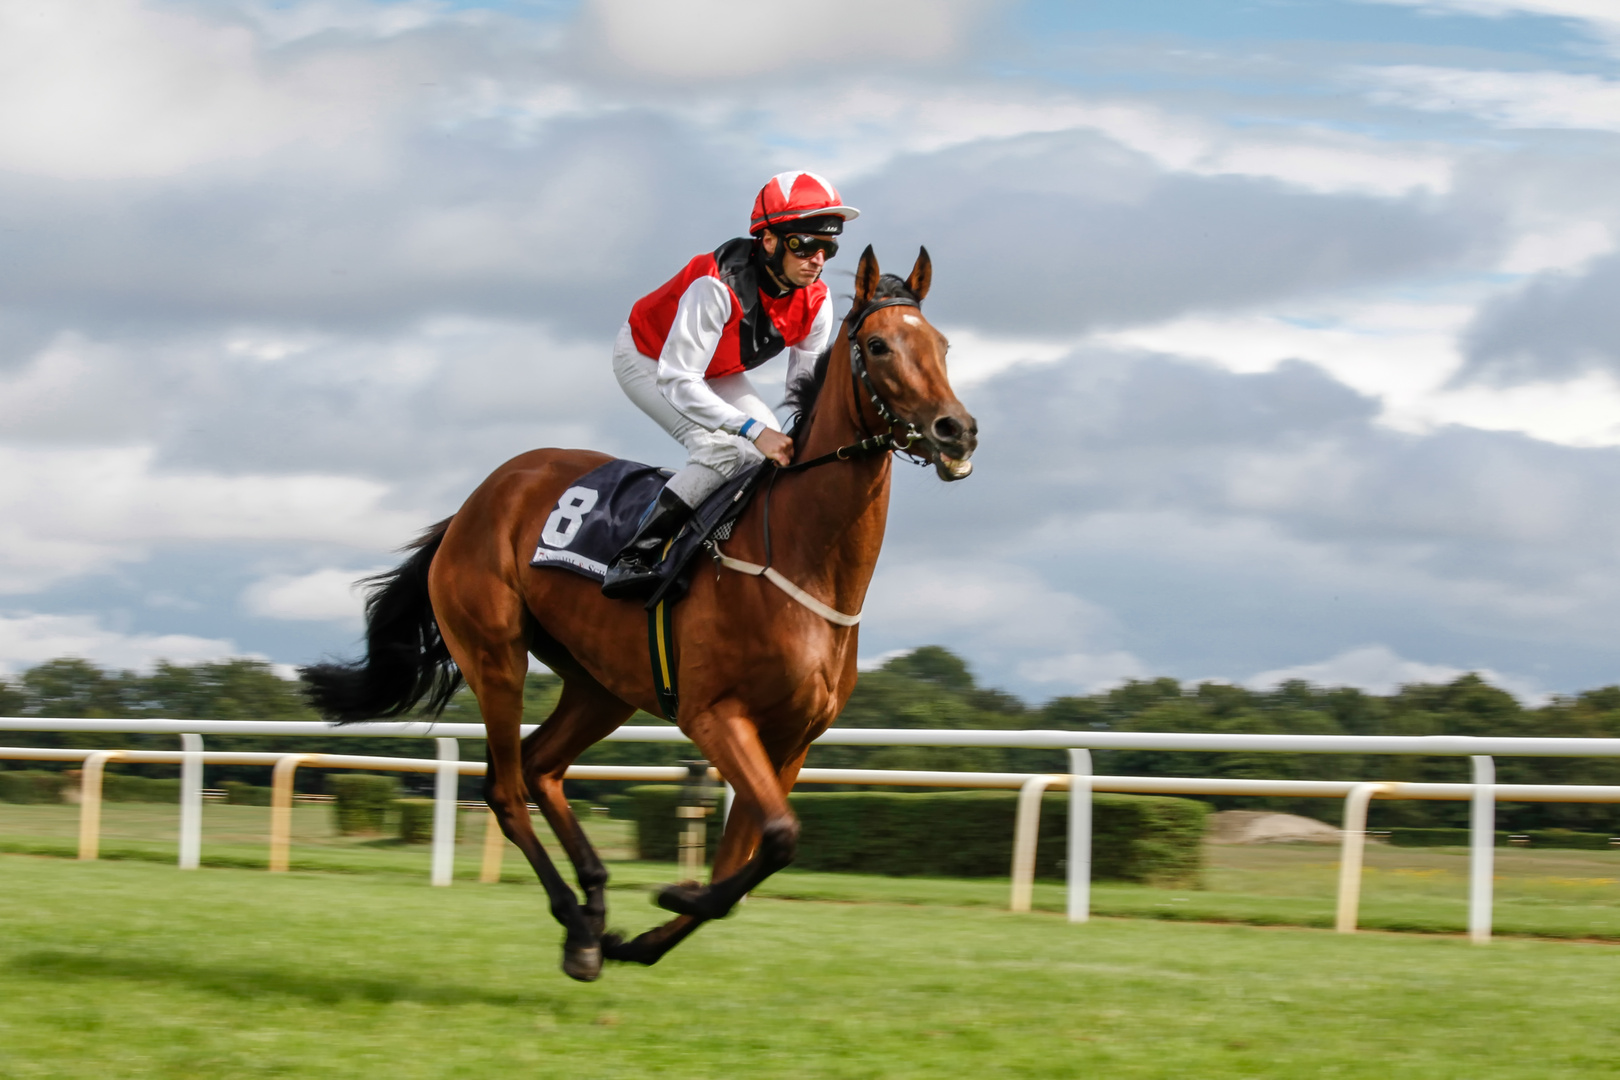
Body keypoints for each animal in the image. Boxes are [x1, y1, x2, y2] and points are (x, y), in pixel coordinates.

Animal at [309, 244, 978, 977]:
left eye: (942, 345)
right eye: (880, 345)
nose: (957, 430)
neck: (804, 564)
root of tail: (475, 503)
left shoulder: (792, 740)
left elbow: (745, 856)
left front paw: (655, 926)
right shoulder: (714, 715)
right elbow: (777, 839)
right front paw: (669, 895)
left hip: (601, 684)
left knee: (542, 767)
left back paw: (594, 908)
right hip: (495, 656)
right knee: (507, 789)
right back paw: (579, 920)